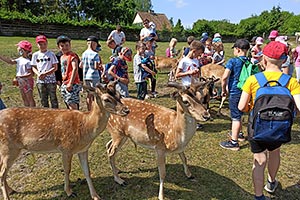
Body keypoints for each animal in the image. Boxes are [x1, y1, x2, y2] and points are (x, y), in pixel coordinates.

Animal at [0, 81, 129, 200]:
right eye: (106, 99)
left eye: (118, 94)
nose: (126, 110)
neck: (85, 127)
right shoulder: (65, 148)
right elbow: (67, 170)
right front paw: (69, 192)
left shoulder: (83, 149)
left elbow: (87, 172)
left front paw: (96, 196)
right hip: (9, 148)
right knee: (2, 173)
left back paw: (11, 190)